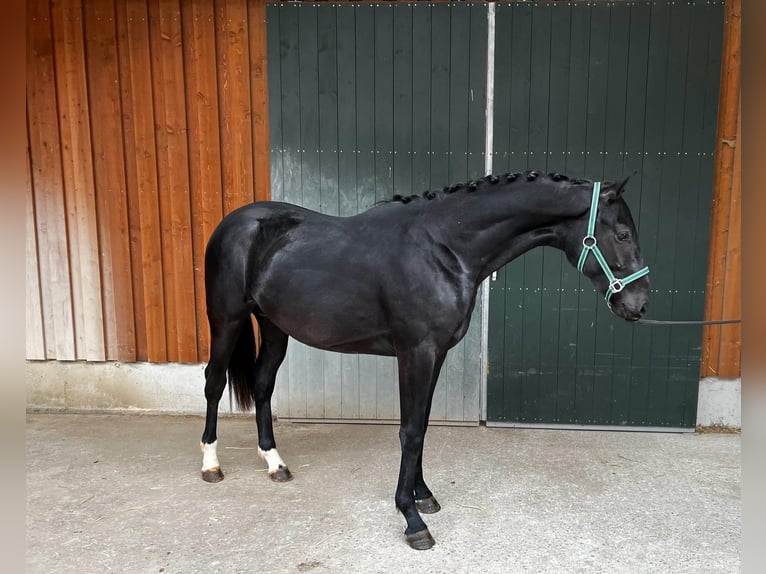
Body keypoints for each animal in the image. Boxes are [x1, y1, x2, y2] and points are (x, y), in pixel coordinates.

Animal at [198, 172, 648, 552]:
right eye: (623, 233)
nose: (639, 304)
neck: (443, 248)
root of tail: (235, 223)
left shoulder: (438, 353)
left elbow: (424, 426)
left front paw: (423, 495)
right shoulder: (416, 352)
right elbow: (411, 432)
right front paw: (412, 519)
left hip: (273, 326)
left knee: (262, 383)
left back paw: (275, 464)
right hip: (227, 320)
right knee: (214, 382)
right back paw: (211, 465)